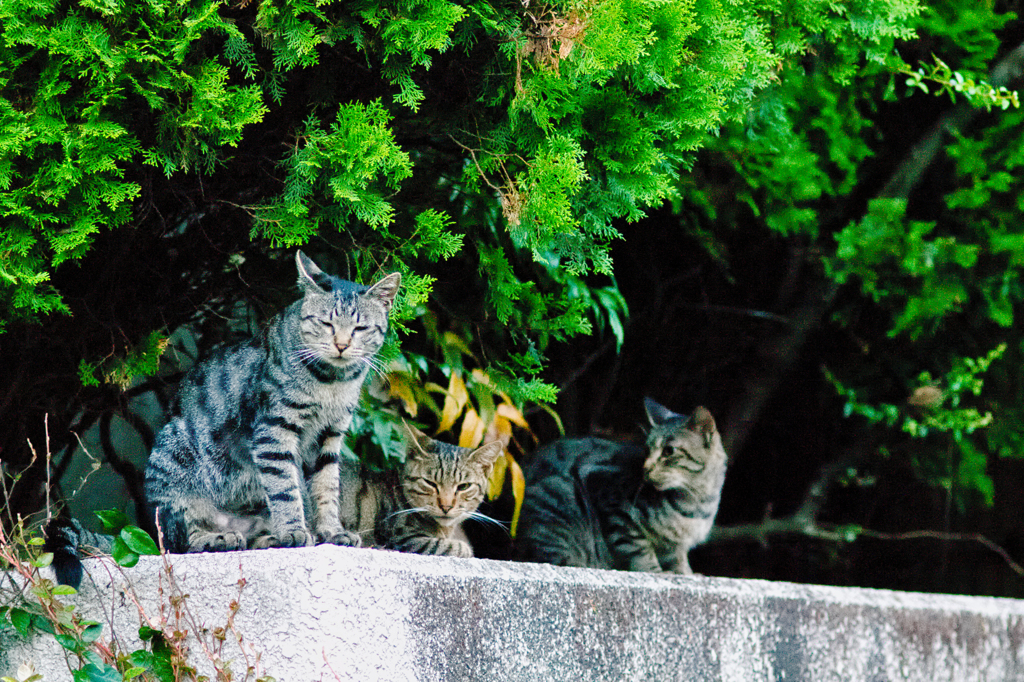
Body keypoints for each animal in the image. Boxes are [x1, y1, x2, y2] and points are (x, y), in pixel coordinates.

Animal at [339, 421, 503, 557]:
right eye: (430, 483)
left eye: (464, 486)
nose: (446, 506)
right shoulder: (404, 539)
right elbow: (450, 546)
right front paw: (463, 549)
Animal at [520, 399, 729, 573]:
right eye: (647, 449)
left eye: (669, 451)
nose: (645, 468)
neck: (698, 502)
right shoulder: (614, 506)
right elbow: (639, 549)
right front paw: (655, 572)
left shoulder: (675, 545)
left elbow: (678, 558)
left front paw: (686, 574)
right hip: (558, 498)